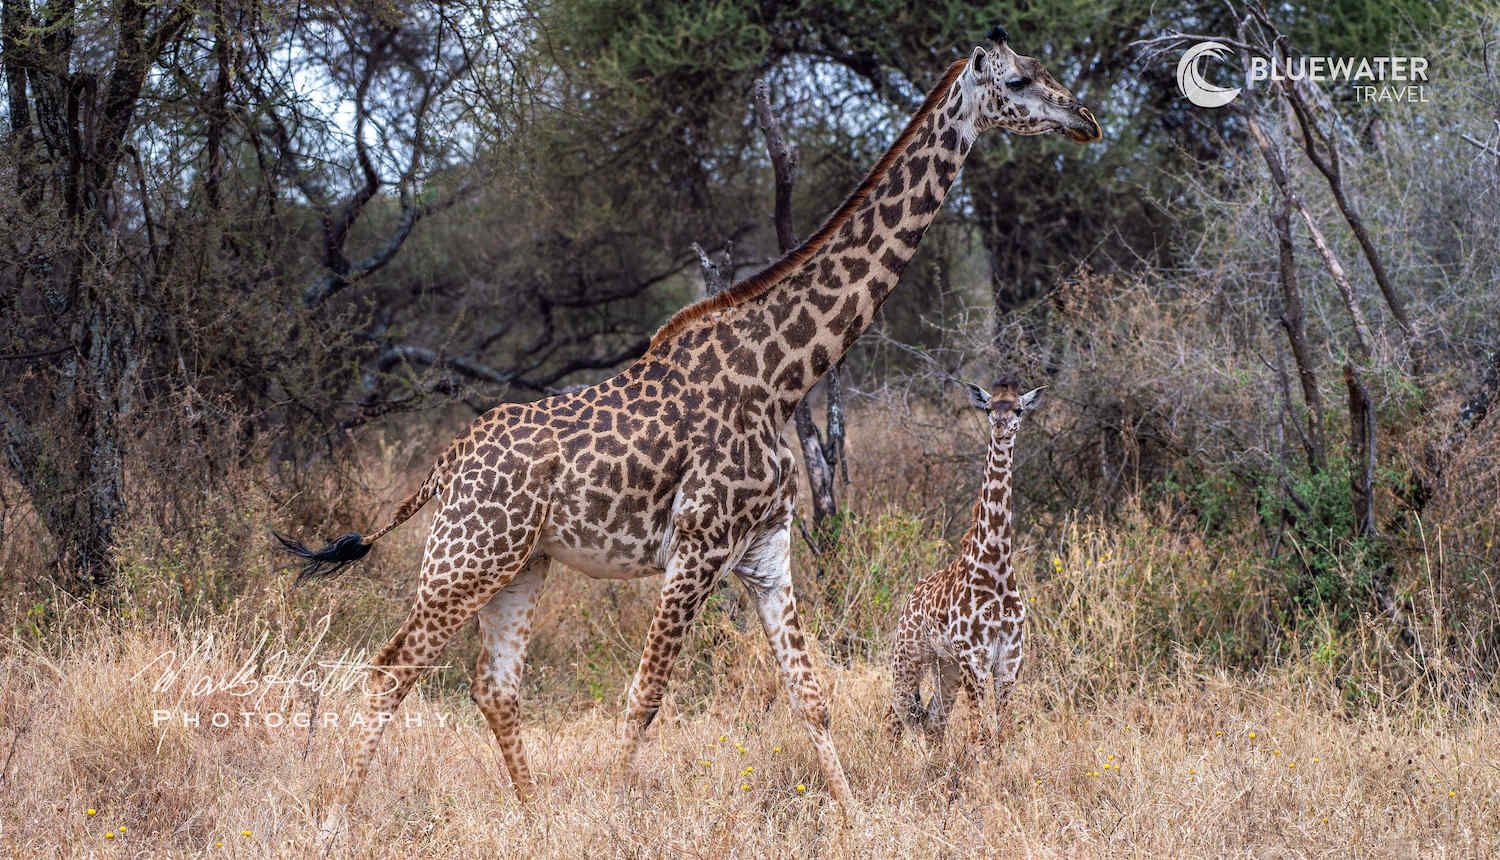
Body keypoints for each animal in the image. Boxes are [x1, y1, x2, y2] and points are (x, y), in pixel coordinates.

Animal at [887, 378, 1045, 746]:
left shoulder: (1009, 660)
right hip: (909, 654)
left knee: (934, 719)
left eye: (1019, 409)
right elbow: (978, 734)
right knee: (895, 713)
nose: (1002, 426)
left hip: (945, 666)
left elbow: (1003, 733)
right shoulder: (975, 658)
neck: (995, 565)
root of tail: (910, 597)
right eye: (988, 408)